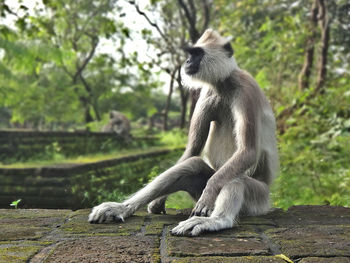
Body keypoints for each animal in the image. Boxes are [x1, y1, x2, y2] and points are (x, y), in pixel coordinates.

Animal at [89, 28, 278, 237]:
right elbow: (193, 149)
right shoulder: (207, 93)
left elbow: (248, 151)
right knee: (192, 165)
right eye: (190, 53)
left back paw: (215, 220)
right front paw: (157, 201)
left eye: (197, 53)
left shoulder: (246, 90)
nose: (187, 62)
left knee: (237, 180)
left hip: (259, 199)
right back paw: (123, 208)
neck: (224, 84)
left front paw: (209, 193)